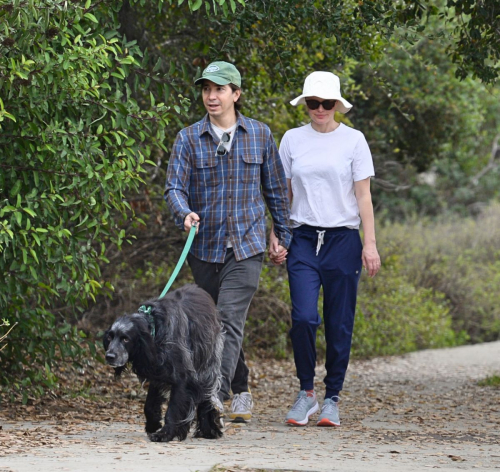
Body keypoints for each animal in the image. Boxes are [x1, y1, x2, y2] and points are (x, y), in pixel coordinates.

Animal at [102, 284, 224, 442]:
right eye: (110, 337)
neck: (155, 328)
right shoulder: (158, 372)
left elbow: (173, 410)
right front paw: (153, 424)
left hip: (207, 367)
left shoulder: (182, 378)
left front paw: (165, 433)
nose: (109, 356)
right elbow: (149, 404)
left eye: (126, 339)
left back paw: (208, 429)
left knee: (206, 398)